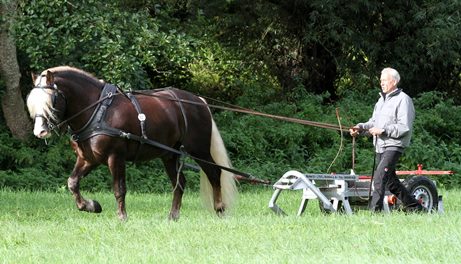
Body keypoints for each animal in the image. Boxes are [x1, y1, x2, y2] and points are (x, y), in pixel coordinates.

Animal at [25, 66, 237, 221]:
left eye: (52, 100)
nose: (39, 131)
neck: (98, 111)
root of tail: (199, 101)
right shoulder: (88, 158)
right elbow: (72, 182)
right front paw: (91, 206)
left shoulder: (116, 157)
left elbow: (119, 189)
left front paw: (122, 217)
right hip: (169, 155)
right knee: (180, 183)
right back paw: (173, 215)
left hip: (199, 150)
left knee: (214, 174)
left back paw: (219, 209)